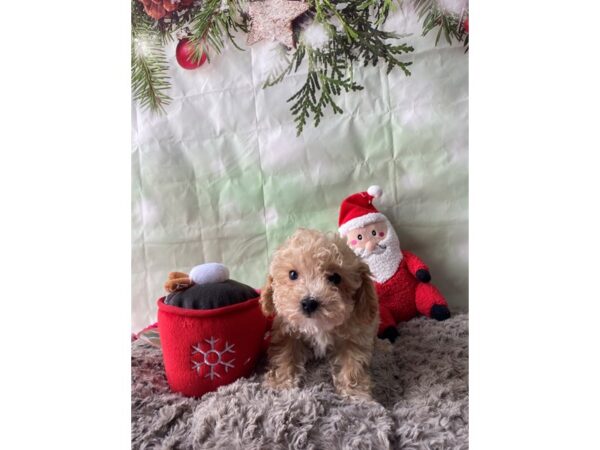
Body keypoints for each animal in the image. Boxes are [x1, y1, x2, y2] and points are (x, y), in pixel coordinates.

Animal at [258, 229, 380, 398]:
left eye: (335, 278)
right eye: (292, 274)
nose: (309, 303)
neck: (318, 327)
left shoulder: (354, 337)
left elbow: (352, 365)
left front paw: (356, 393)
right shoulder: (287, 332)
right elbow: (285, 355)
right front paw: (280, 383)